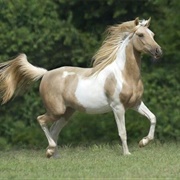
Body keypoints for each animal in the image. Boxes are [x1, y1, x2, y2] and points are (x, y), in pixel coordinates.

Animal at [0, 17, 162, 158]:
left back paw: (54, 155)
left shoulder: (135, 104)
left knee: (54, 129)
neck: (123, 74)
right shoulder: (118, 107)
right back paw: (51, 150)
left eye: (153, 34)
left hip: (67, 112)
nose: (158, 51)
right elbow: (123, 132)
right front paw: (127, 154)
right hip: (57, 110)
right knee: (42, 120)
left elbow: (153, 117)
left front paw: (143, 142)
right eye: (140, 35)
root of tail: (46, 74)